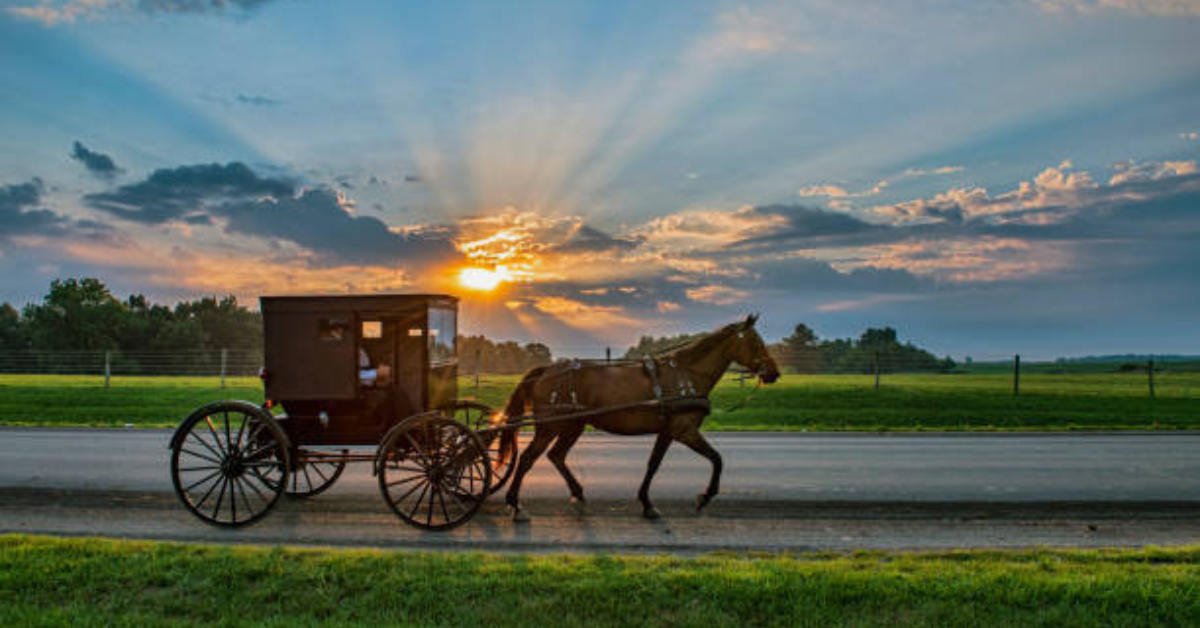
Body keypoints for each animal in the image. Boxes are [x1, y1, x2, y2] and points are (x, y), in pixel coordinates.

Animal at [501, 312, 782, 521]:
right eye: (755, 342)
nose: (774, 373)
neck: (685, 375)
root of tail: (547, 370)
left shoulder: (668, 431)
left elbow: (654, 464)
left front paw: (647, 503)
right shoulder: (683, 431)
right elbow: (716, 459)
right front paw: (704, 496)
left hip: (573, 425)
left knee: (556, 456)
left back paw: (578, 494)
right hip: (550, 426)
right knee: (527, 459)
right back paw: (515, 505)